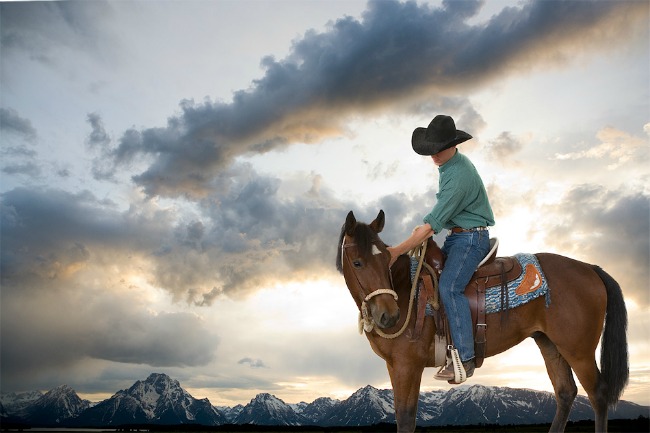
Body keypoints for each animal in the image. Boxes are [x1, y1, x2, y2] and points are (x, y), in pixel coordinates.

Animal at [336, 210, 624, 432]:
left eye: (387, 258)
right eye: (358, 262)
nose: (390, 315)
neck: (409, 290)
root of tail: (590, 268)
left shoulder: (409, 366)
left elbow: (406, 419)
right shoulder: (394, 366)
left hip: (579, 350)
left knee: (597, 394)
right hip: (550, 343)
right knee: (565, 392)